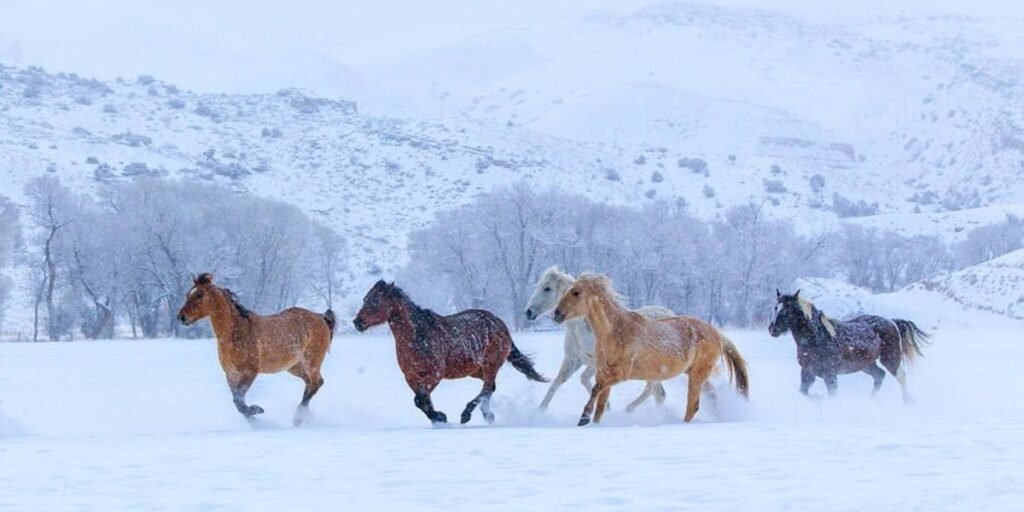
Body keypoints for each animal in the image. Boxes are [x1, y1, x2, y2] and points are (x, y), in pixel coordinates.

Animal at [177, 273, 335, 424]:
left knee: (316, 383)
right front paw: (253, 416)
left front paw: (257, 410)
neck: (236, 332)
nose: (181, 317)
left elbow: (239, 401)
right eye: (187, 295)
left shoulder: (250, 372)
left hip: (311, 361)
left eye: (199, 294)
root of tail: (321, 317)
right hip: (294, 366)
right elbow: (238, 402)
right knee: (311, 383)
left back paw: (298, 418)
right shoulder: (231, 374)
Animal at [352, 280, 548, 425]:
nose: (357, 322)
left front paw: (440, 417)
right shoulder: (411, 376)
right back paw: (487, 415)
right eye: (365, 299)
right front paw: (438, 417)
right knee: (490, 387)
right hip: (476, 370)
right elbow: (422, 401)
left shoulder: (435, 374)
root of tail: (499, 323)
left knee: (487, 388)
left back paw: (467, 414)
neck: (417, 336)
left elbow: (420, 399)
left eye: (375, 301)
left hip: (491, 365)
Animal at [525, 266, 675, 412]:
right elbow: (558, 383)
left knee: (653, 389)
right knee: (658, 393)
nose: (528, 312)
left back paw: (629, 410)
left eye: (547, 288)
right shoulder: (572, 360)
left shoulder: (599, 363)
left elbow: (586, 379)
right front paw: (540, 410)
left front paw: (605, 407)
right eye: (537, 286)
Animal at [552, 273, 749, 426]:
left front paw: (583, 418)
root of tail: (717, 334)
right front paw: (593, 421)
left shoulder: (620, 374)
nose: (556, 314)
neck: (615, 331)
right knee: (710, 397)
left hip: (697, 375)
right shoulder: (602, 372)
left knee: (692, 406)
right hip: (695, 373)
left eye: (576, 292)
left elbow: (595, 389)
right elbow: (600, 404)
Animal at [768, 289, 929, 403]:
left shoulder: (830, 374)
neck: (817, 337)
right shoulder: (808, 371)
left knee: (900, 376)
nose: (772, 329)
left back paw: (908, 402)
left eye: (788, 309)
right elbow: (803, 392)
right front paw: (817, 398)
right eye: (776, 307)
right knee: (880, 375)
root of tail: (891, 321)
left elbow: (832, 395)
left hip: (890, 359)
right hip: (867, 364)